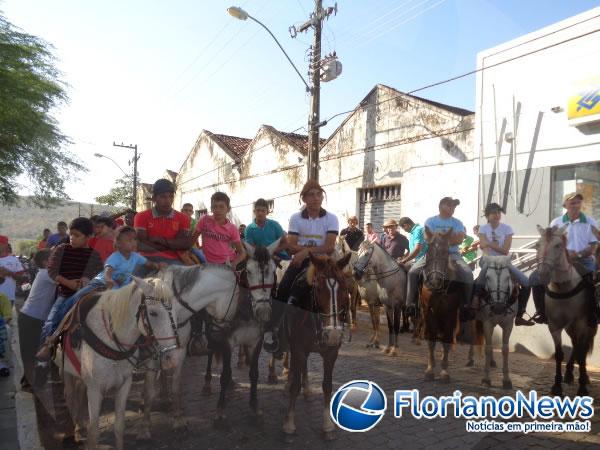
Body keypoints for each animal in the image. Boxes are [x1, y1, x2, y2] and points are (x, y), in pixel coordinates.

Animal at [57, 276, 182, 448]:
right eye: (153, 313)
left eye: (175, 311)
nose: (174, 358)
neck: (110, 339)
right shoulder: (95, 388)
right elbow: (93, 432)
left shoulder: (124, 384)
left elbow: (119, 426)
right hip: (67, 374)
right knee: (70, 399)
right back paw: (73, 432)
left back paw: (79, 426)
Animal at [282, 253, 352, 442]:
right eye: (319, 289)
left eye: (344, 289)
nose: (333, 334)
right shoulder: (298, 348)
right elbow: (294, 386)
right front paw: (289, 424)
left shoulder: (331, 353)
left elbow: (327, 386)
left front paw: (328, 425)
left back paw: (306, 388)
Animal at [420, 229, 462, 384]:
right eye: (429, 251)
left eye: (445, 252)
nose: (435, 280)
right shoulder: (428, 312)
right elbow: (431, 338)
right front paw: (430, 370)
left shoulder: (450, 313)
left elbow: (447, 340)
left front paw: (444, 372)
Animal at [474, 255, 516, 388]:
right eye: (487, 277)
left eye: (508, 277)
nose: (498, 308)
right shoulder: (487, 323)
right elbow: (487, 348)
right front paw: (486, 379)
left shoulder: (508, 325)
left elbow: (505, 350)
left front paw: (507, 380)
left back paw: (492, 362)